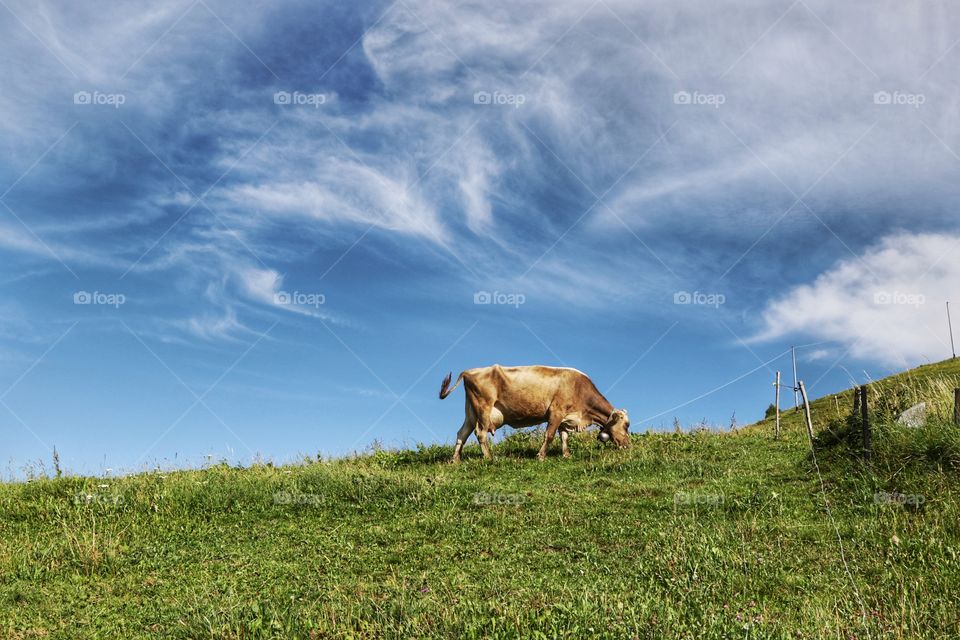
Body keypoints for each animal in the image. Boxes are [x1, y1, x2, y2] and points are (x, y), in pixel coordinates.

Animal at [439, 364, 631, 462]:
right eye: (626, 425)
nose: (628, 445)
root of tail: (469, 371)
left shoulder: (565, 417)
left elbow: (564, 437)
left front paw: (566, 455)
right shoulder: (556, 412)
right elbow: (550, 435)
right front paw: (541, 456)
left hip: (471, 412)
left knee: (462, 433)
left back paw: (455, 460)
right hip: (484, 408)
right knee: (480, 433)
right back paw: (489, 458)